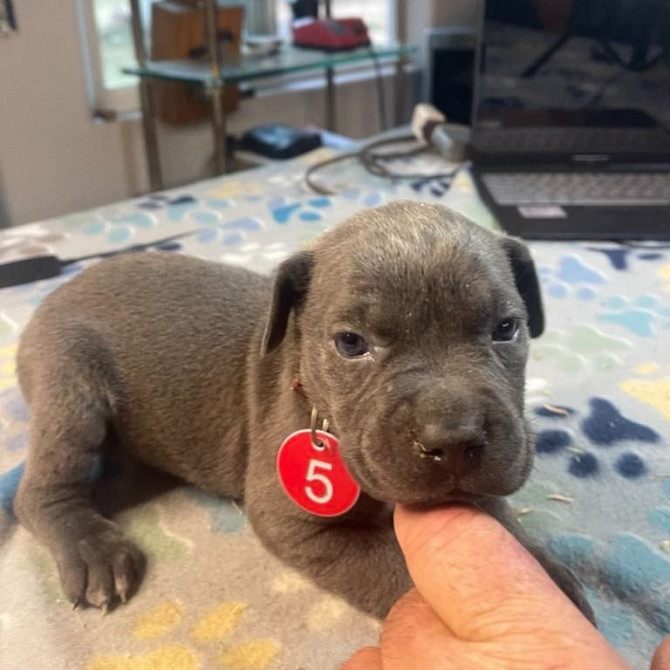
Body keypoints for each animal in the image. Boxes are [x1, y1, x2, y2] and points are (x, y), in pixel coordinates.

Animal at [14, 202, 592, 624]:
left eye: (506, 328)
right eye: (351, 343)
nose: (453, 439)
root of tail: (58, 291)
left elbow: (499, 519)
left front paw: (546, 573)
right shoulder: (299, 528)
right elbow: (400, 571)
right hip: (71, 384)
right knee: (41, 490)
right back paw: (91, 549)